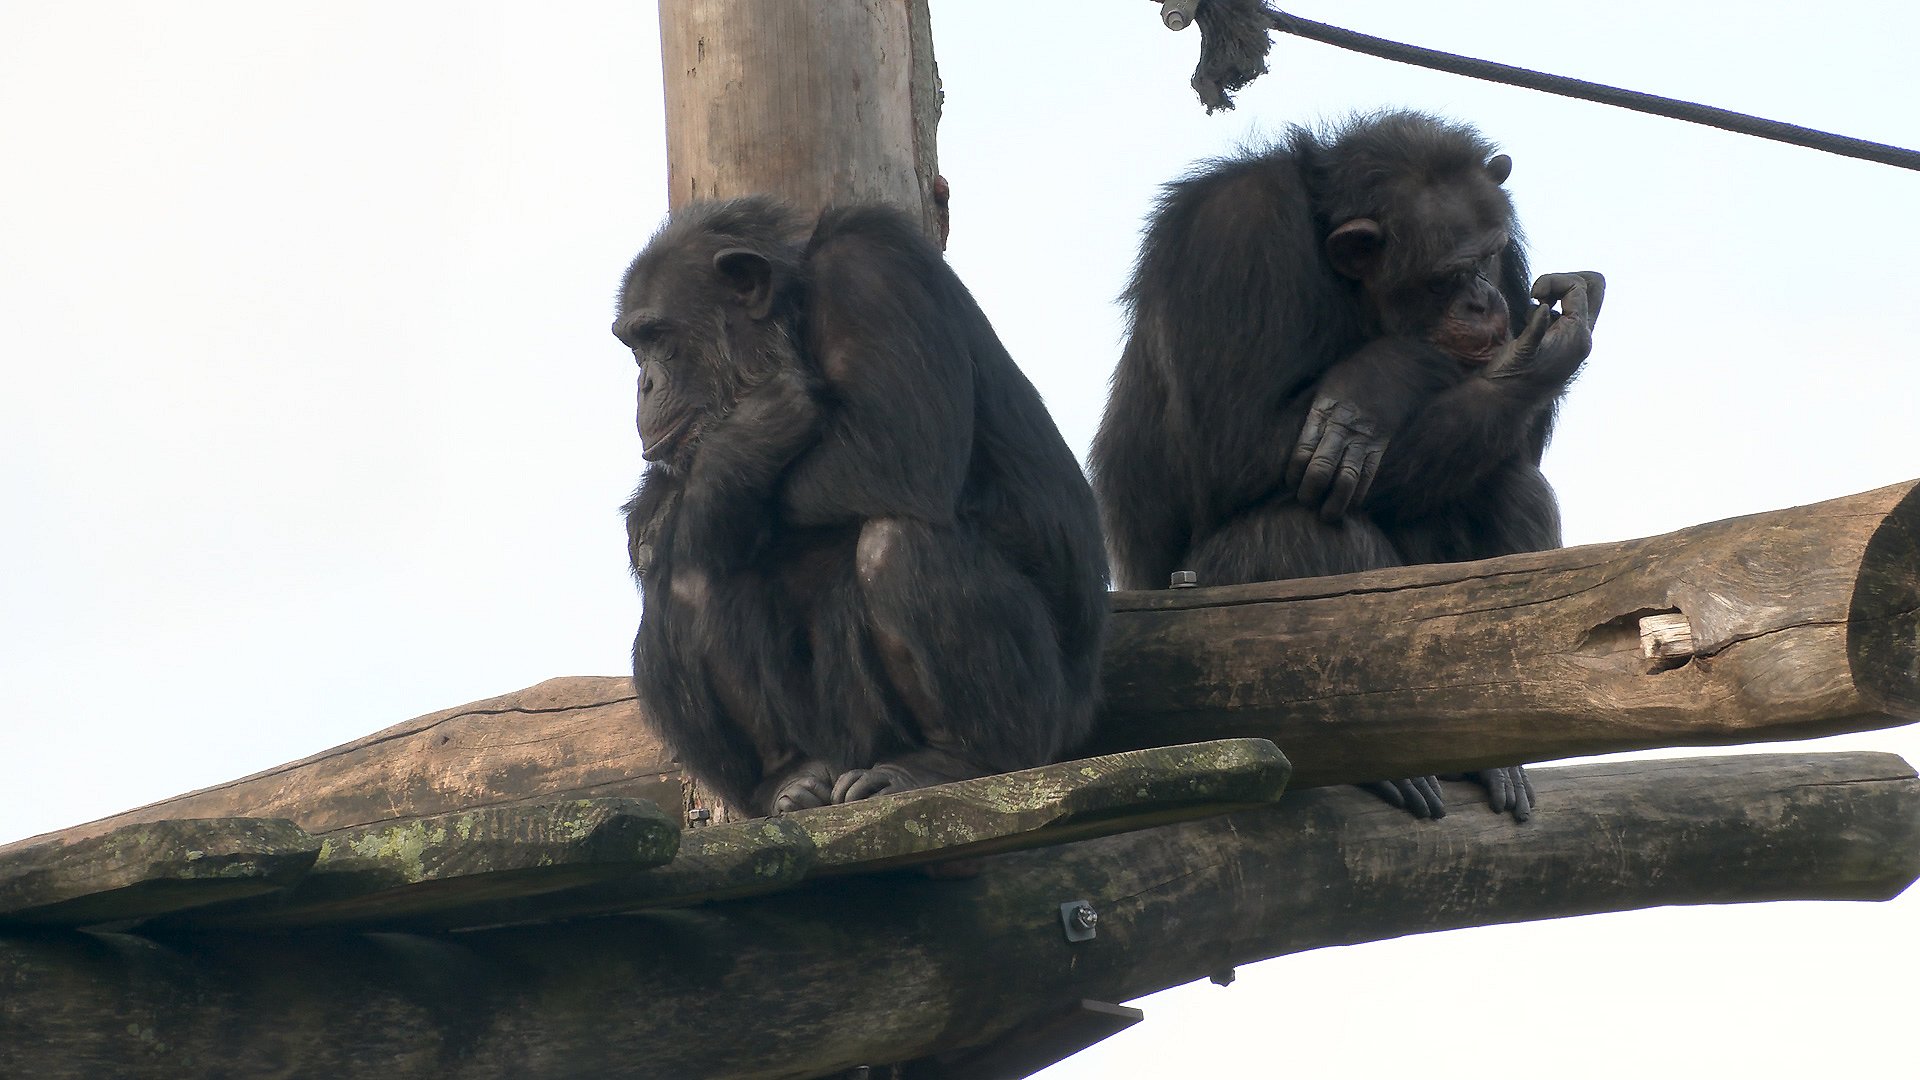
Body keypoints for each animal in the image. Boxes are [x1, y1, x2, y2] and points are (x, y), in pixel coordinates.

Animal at [606, 195, 1105, 814]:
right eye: (634, 345)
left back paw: (952, 762)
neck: (791, 317)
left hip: (1039, 720)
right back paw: (788, 776)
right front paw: (743, 440)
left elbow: (896, 447)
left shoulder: (870, 269)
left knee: (895, 545)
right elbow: (667, 528)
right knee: (690, 574)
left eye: (657, 336)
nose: (645, 383)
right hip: (832, 740)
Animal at [1090, 109, 1597, 818]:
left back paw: (1493, 759)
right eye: (1448, 277)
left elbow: (1519, 449)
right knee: (1302, 525)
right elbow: (1230, 443)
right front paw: (1390, 371)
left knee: (1509, 483)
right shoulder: (1233, 232)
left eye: (1486, 259)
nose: (1484, 302)